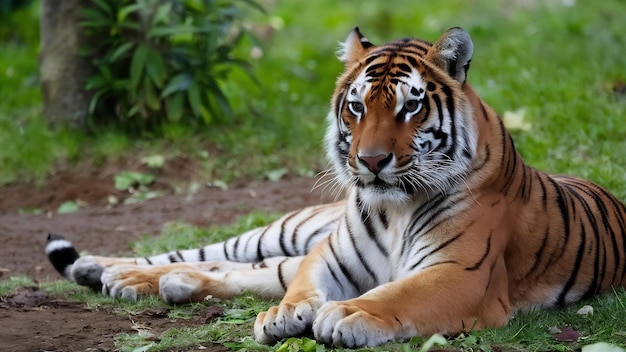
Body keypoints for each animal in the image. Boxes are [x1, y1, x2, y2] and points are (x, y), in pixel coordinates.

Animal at [46, 26, 624, 346]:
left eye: (410, 107)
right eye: (357, 106)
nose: (370, 161)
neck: (393, 210)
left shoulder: (463, 274)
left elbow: (400, 293)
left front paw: (349, 314)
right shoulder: (329, 254)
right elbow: (304, 285)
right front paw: (285, 316)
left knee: (239, 269)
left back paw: (161, 284)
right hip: (287, 232)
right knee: (214, 254)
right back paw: (110, 271)